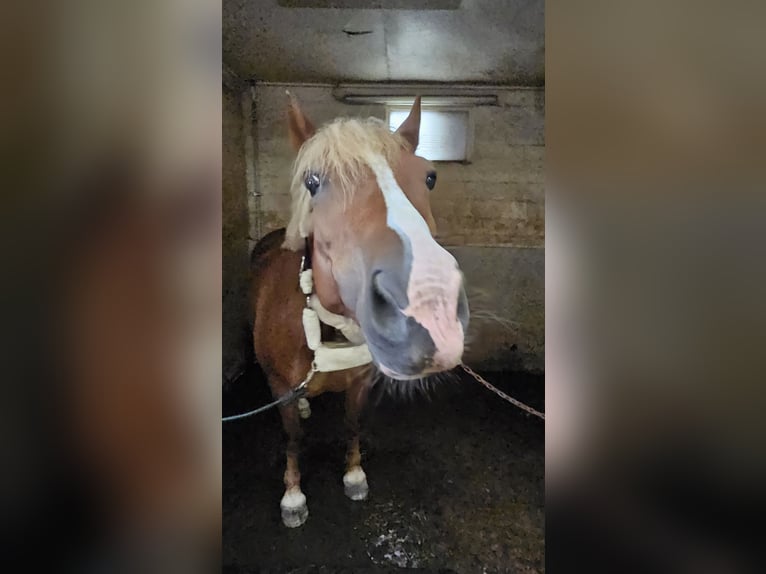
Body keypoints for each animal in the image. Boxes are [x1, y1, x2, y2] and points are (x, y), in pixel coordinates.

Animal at [252, 95, 468, 532]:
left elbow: (352, 424)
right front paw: (293, 496)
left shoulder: (360, 382)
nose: (430, 314)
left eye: (430, 177)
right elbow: (293, 438)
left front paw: (354, 476)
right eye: (313, 182)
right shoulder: (279, 388)